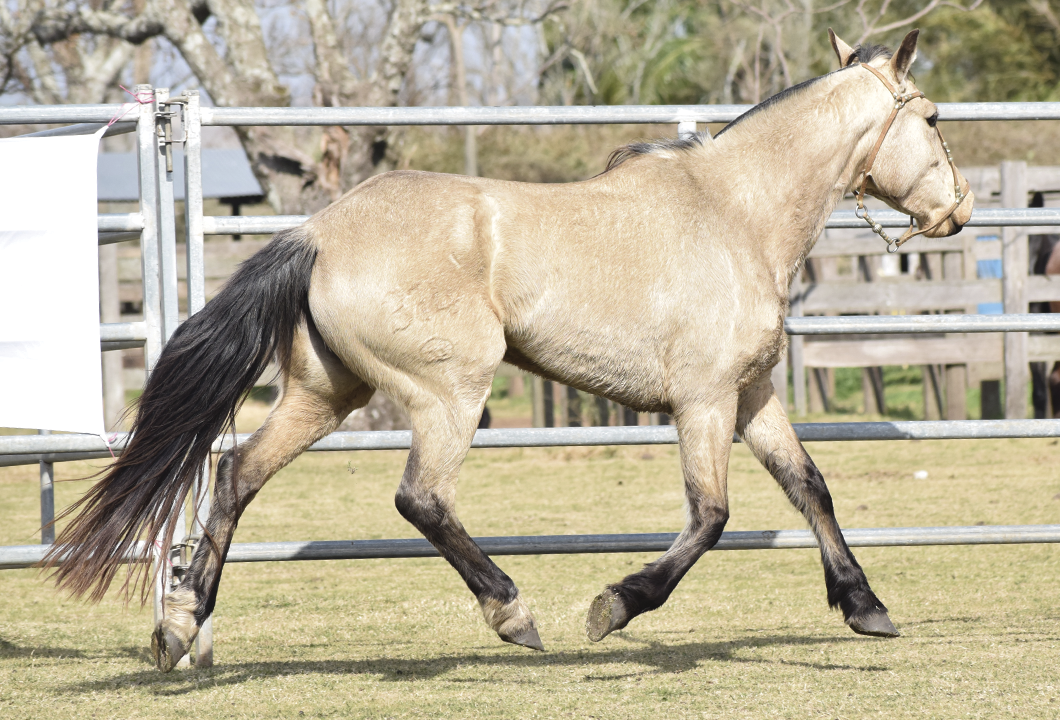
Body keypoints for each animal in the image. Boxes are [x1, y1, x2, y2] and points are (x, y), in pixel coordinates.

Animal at [45, 28, 970, 670]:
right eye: (931, 117)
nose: (956, 210)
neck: (734, 212)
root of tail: (317, 231)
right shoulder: (703, 401)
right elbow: (710, 516)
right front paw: (614, 604)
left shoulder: (752, 395)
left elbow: (811, 487)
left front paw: (866, 607)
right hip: (449, 393)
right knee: (421, 499)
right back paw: (513, 614)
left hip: (326, 394)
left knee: (237, 474)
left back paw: (180, 622)